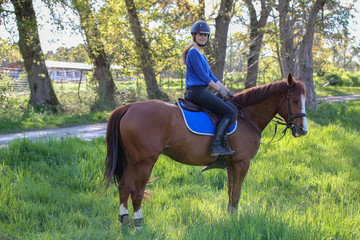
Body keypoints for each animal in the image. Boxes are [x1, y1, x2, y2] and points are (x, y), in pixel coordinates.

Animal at [102, 73, 308, 229]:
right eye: (295, 100)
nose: (302, 130)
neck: (246, 117)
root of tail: (128, 107)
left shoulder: (231, 164)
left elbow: (230, 192)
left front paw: (229, 217)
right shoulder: (242, 163)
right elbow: (237, 193)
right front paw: (234, 221)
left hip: (131, 162)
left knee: (124, 187)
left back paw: (124, 222)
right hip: (144, 163)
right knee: (136, 192)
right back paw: (139, 225)